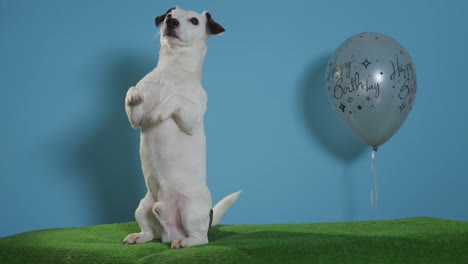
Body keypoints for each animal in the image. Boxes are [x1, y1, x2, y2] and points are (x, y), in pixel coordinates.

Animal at [123, 7, 241, 249]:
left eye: (194, 20)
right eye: (170, 15)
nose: (171, 21)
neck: (172, 73)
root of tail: (169, 233)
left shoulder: (192, 118)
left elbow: (176, 98)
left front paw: (159, 112)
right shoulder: (135, 119)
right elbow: (133, 94)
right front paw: (134, 95)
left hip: (190, 209)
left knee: (201, 238)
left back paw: (185, 242)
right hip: (142, 207)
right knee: (150, 231)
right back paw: (139, 236)